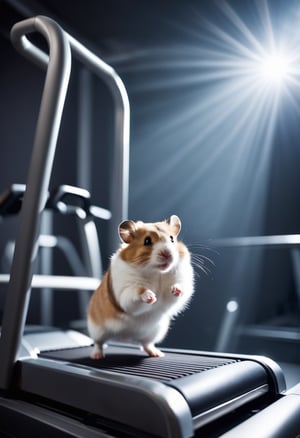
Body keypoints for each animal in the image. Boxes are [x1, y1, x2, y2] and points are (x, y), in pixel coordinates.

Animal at [86, 214, 195, 358]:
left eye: (172, 239)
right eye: (147, 241)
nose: (168, 254)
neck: (156, 273)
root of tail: (125, 339)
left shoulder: (181, 283)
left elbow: (178, 290)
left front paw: (176, 289)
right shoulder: (125, 292)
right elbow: (136, 292)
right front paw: (151, 297)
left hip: (155, 332)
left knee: (145, 344)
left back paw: (158, 354)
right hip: (97, 330)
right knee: (98, 343)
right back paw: (97, 356)